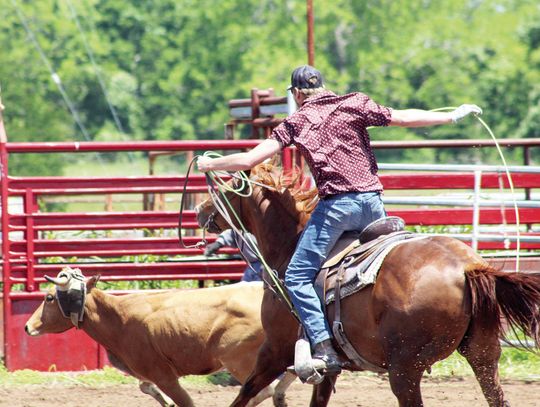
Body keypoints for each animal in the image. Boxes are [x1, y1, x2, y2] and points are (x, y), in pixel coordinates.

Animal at [196, 165, 540, 407]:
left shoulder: (275, 350)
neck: (288, 247)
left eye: (225, 187)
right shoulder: (329, 368)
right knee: (496, 395)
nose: (200, 210)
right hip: (483, 353)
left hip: (405, 368)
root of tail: (465, 266)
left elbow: (245, 393)